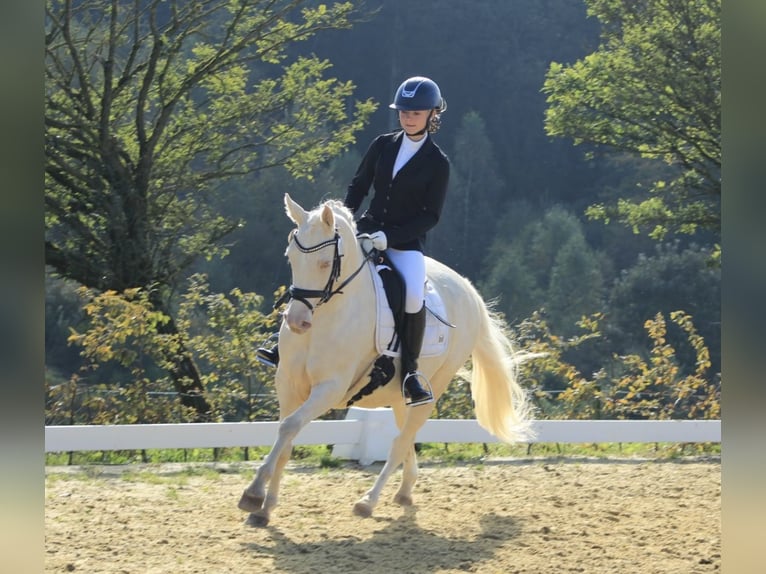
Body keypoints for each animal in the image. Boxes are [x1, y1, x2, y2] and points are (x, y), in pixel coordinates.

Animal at [238, 196, 536, 528]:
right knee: (406, 439)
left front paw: (253, 493)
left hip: (432, 390)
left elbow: (289, 427)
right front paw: (265, 508)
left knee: (399, 443)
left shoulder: (330, 388)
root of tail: (469, 291)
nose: (297, 322)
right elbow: (286, 439)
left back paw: (368, 501)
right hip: (398, 397)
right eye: (290, 258)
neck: (328, 316)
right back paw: (404, 492)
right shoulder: (288, 384)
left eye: (325, 263)